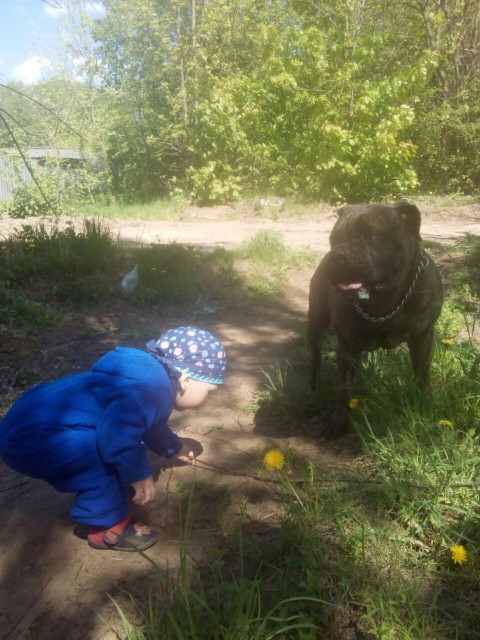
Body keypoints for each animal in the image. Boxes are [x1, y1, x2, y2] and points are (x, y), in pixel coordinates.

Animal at [308, 202, 442, 438]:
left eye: (369, 235)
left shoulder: (422, 336)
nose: (337, 255)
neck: (384, 303)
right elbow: (344, 389)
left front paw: (425, 406)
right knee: (315, 357)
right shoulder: (347, 346)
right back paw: (315, 386)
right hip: (316, 322)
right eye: (333, 239)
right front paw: (340, 421)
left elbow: (422, 374)